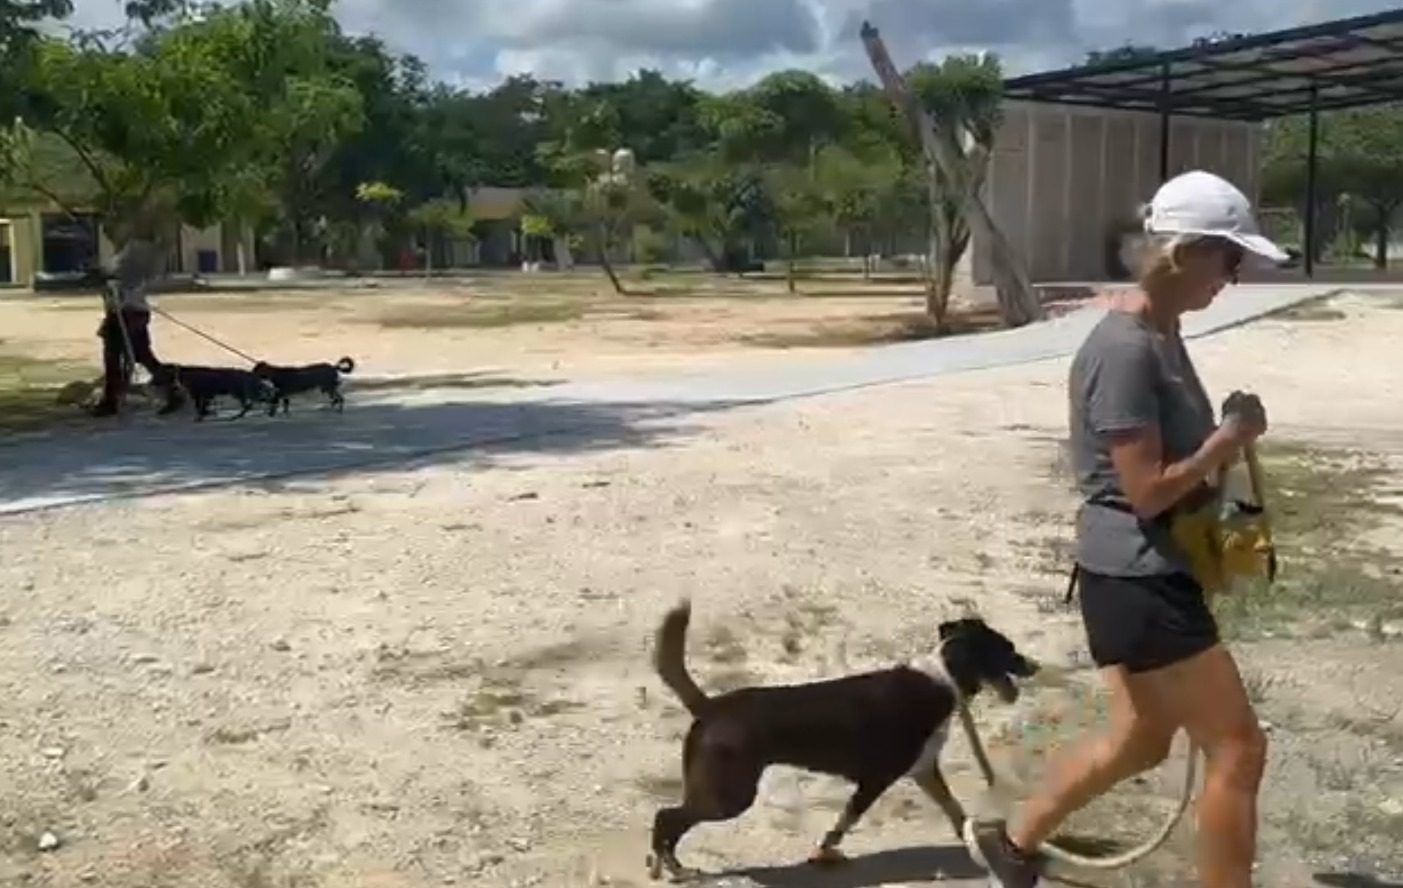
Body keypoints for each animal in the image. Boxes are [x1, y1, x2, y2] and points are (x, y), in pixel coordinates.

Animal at [647, 601, 1039, 881]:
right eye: (1008, 649)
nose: (1035, 666)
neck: (943, 676)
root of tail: (711, 705)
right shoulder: (875, 780)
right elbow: (843, 823)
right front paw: (824, 853)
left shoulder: (925, 771)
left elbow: (957, 812)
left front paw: (981, 848)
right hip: (731, 796)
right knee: (666, 817)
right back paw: (672, 868)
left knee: (673, 821)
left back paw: (667, 864)